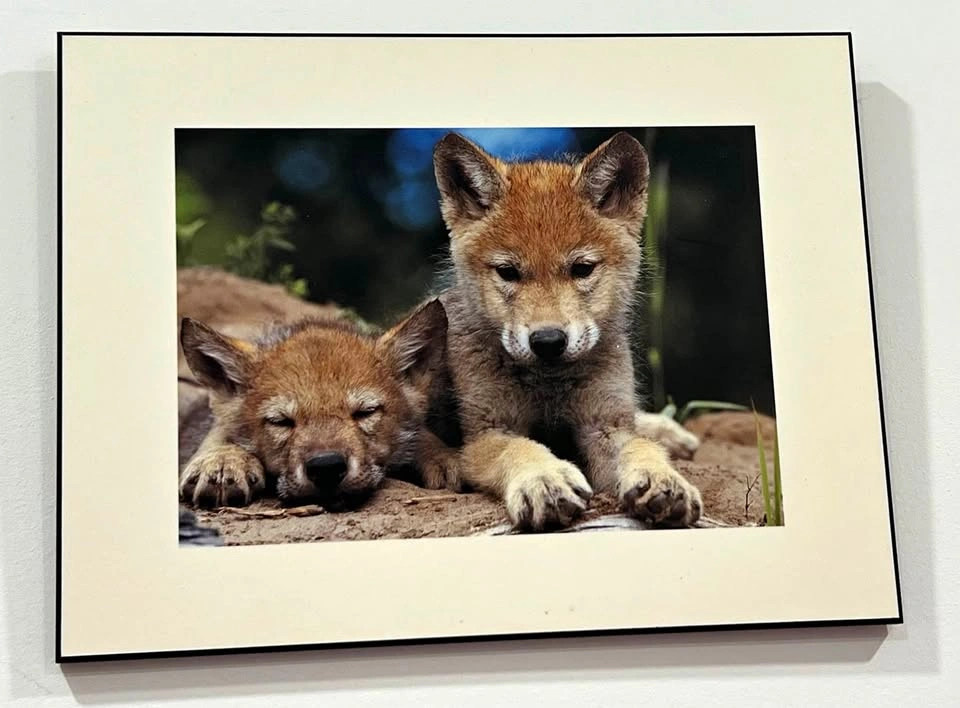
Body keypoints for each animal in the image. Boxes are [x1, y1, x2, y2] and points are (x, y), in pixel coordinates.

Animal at [178, 299, 459, 510]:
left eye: (365, 413)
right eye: (281, 421)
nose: (326, 468)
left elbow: (423, 437)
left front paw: (443, 458)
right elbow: (220, 433)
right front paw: (221, 462)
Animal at [431, 131, 703, 530]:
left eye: (582, 269)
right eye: (508, 272)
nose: (548, 341)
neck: (549, 385)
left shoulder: (605, 424)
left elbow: (638, 445)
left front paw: (663, 479)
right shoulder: (488, 432)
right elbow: (520, 448)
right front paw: (545, 480)